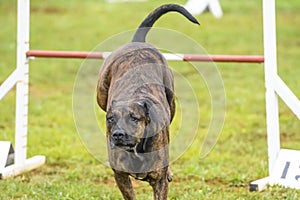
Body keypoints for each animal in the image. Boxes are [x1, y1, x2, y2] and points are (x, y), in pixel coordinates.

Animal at [96, 3, 199, 199]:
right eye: (110, 119)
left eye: (134, 118)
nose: (118, 134)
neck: (136, 148)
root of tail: (138, 42)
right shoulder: (120, 175)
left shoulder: (159, 181)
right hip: (101, 94)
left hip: (171, 101)